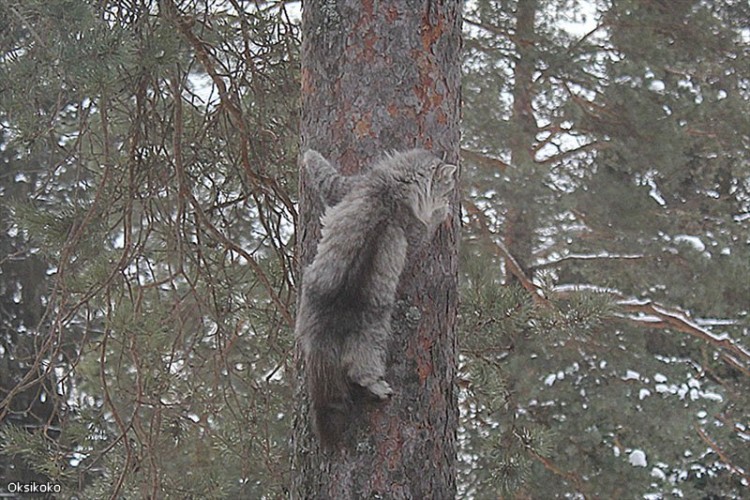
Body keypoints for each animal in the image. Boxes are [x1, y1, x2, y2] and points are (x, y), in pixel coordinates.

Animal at [296, 148, 456, 450]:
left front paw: (307, 154)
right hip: (372, 333)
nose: (449, 196)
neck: (395, 188)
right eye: (447, 187)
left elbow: (324, 174)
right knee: (359, 371)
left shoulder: (346, 188)